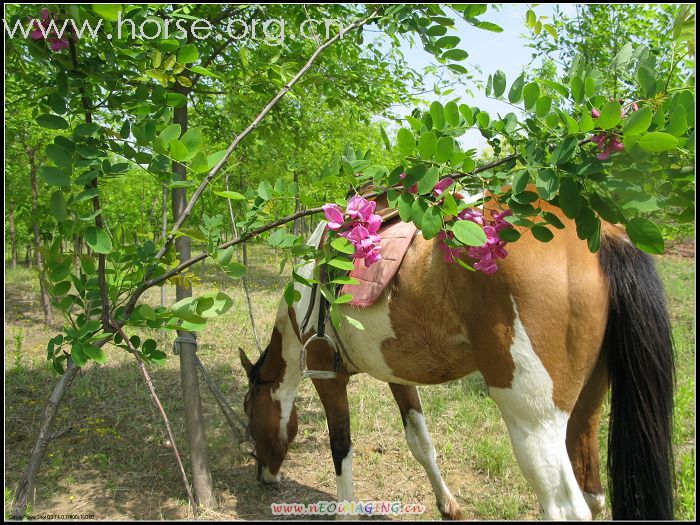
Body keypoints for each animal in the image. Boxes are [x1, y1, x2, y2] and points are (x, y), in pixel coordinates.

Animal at [238, 196, 676, 520]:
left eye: (248, 410)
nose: (263, 475)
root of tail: (604, 236)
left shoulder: (325, 374)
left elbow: (341, 447)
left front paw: (345, 511)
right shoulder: (397, 374)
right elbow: (420, 441)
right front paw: (447, 504)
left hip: (534, 422)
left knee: (567, 507)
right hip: (588, 408)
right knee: (593, 496)